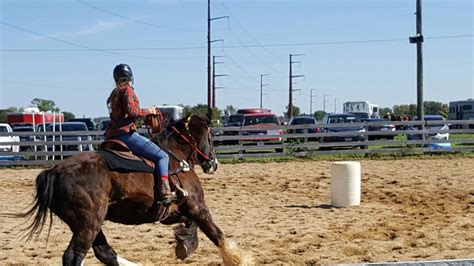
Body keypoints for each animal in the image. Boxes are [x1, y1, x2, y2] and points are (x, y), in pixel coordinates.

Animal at [7, 114, 252, 266]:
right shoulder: (196, 204)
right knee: (74, 256)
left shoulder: (172, 211)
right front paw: (239, 258)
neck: (175, 157)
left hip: (88, 223)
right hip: (88, 223)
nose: (213, 163)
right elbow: (215, 233)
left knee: (104, 252)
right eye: (210, 136)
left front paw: (184, 244)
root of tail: (54, 171)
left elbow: (189, 224)